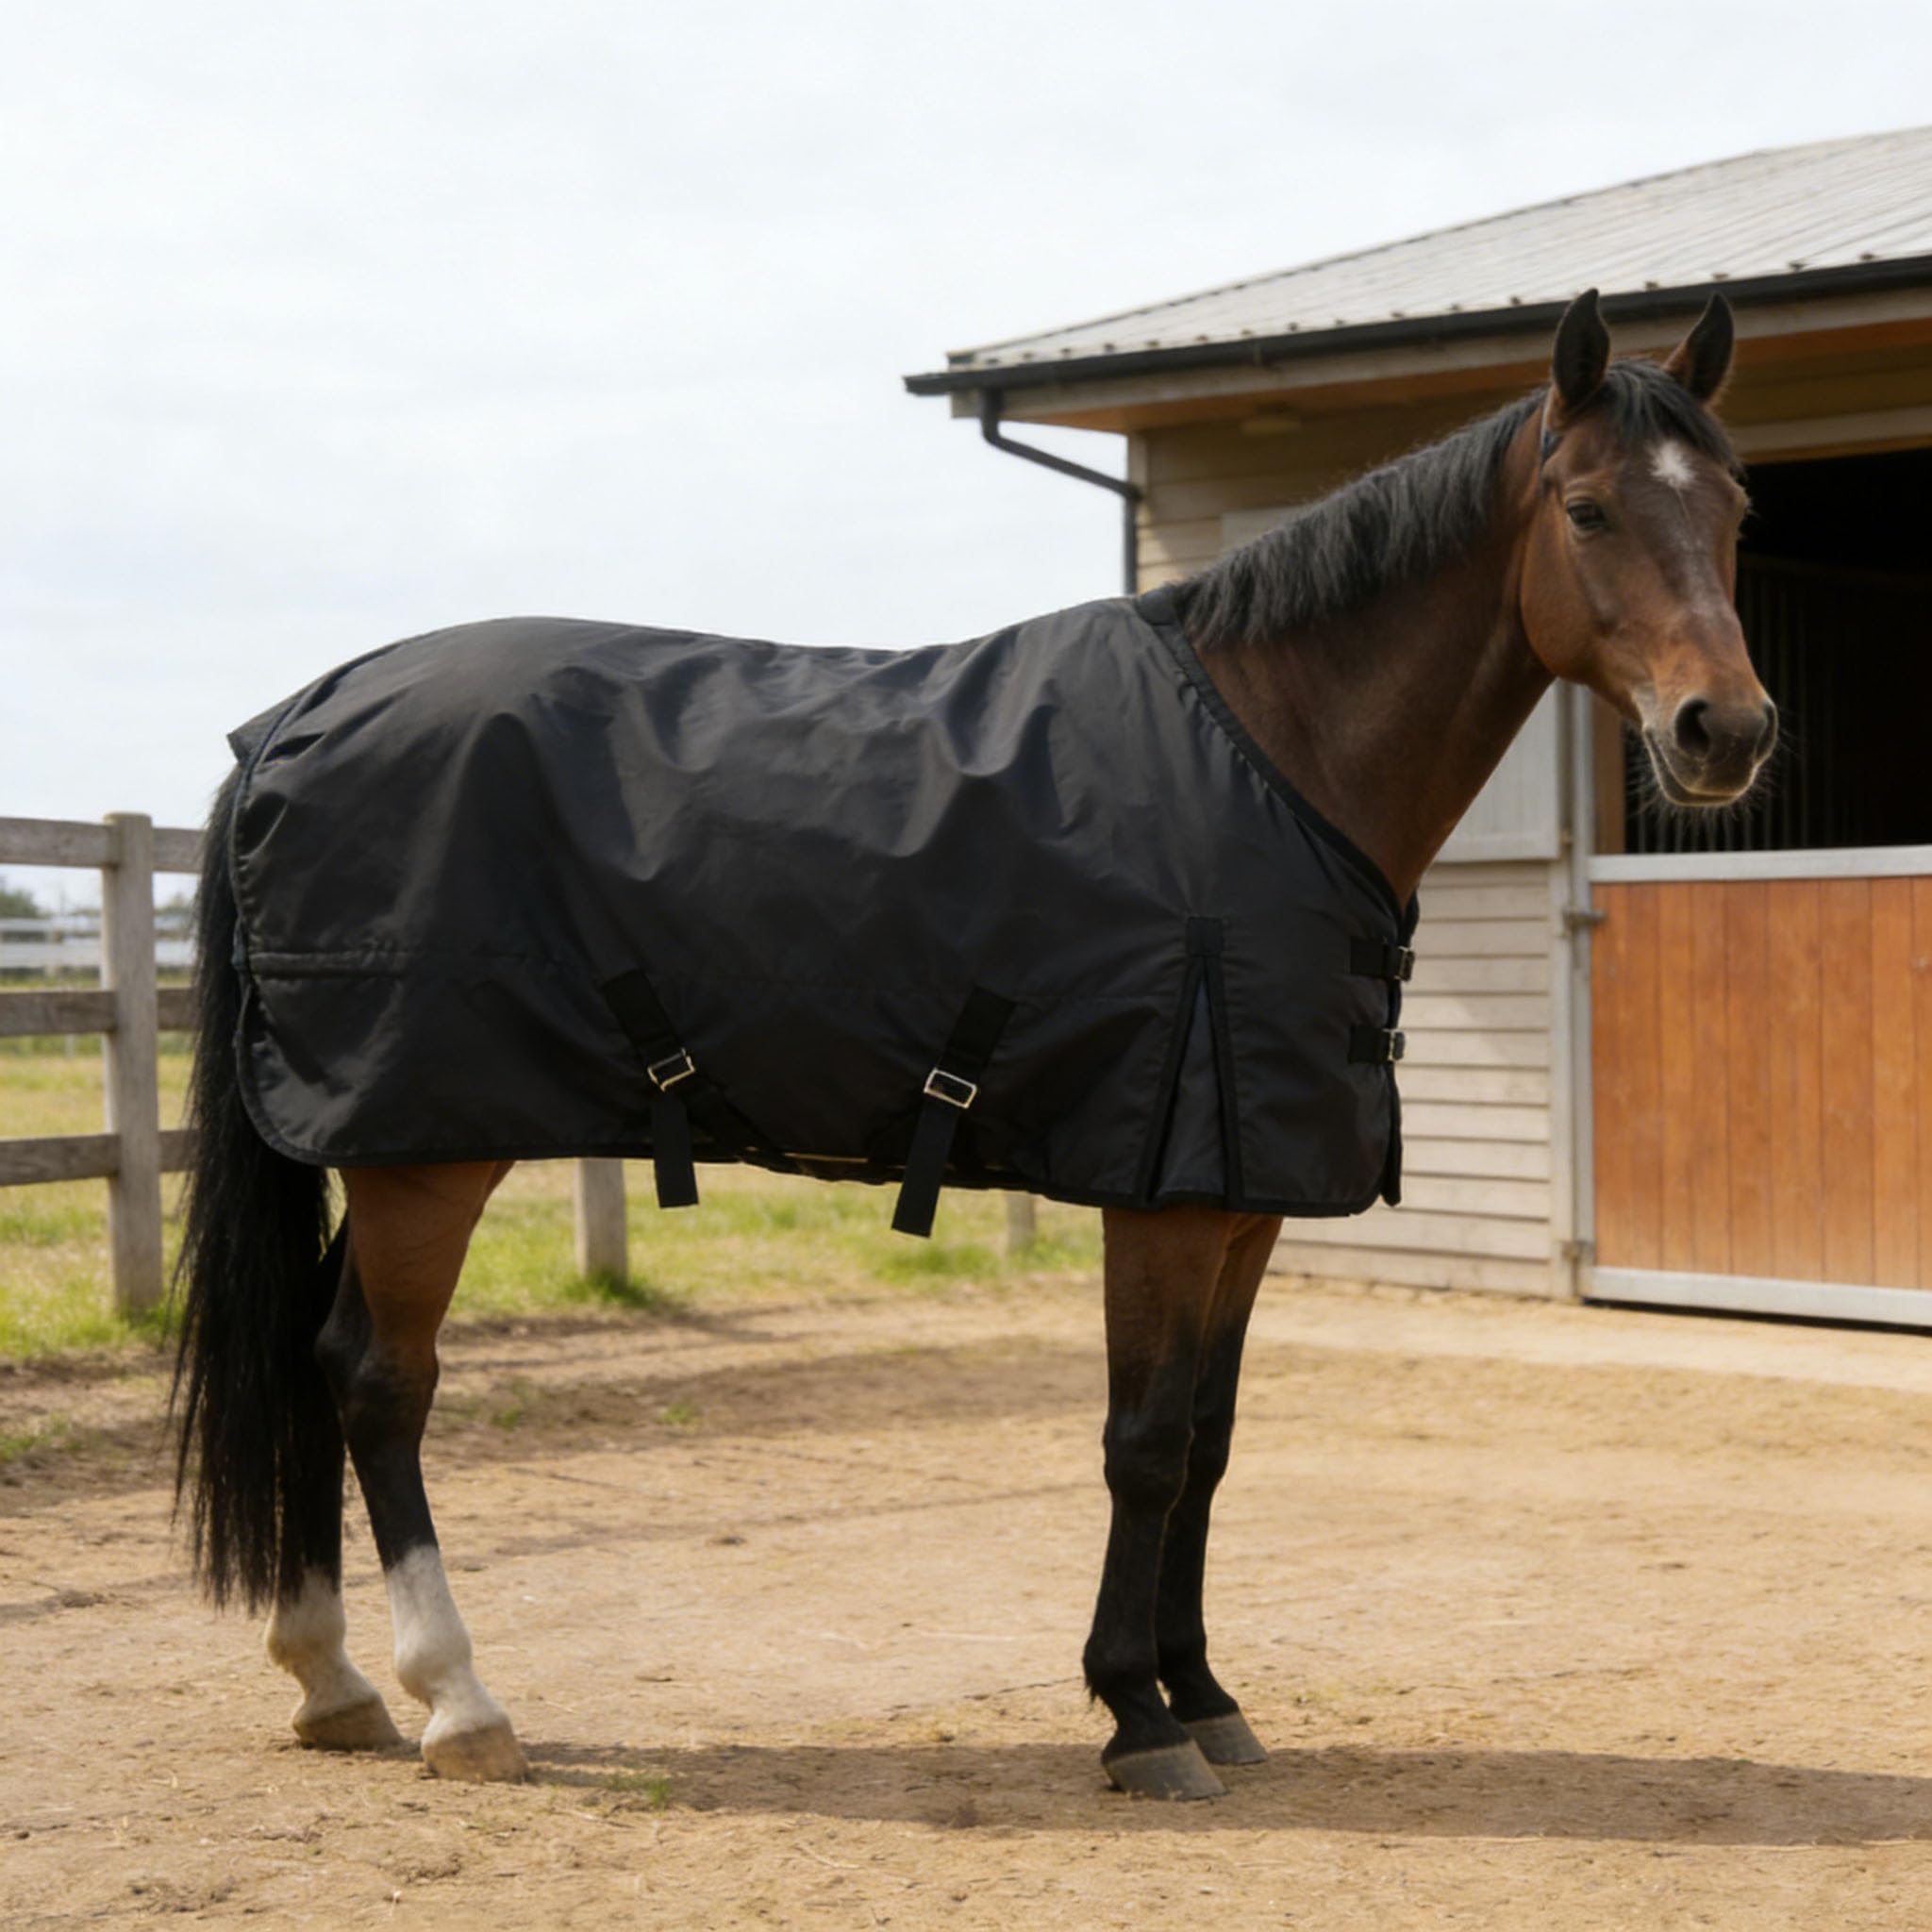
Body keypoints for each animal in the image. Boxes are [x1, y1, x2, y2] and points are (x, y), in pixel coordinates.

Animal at [170, 289, 1774, 1800]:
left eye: (1734, 509)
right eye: (1588, 509)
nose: (1726, 733)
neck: (1273, 756)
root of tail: (292, 720)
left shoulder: (1245, 1200)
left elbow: (1209, 1444)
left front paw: (1206, 1694)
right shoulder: (1162, 1191)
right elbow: (1144, 1445)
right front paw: (1136, 1715)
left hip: (393, 1140)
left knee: (313, 1355)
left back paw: (333, 1680)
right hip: (430, 1147)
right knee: (379, 1378)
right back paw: (459, 1701)